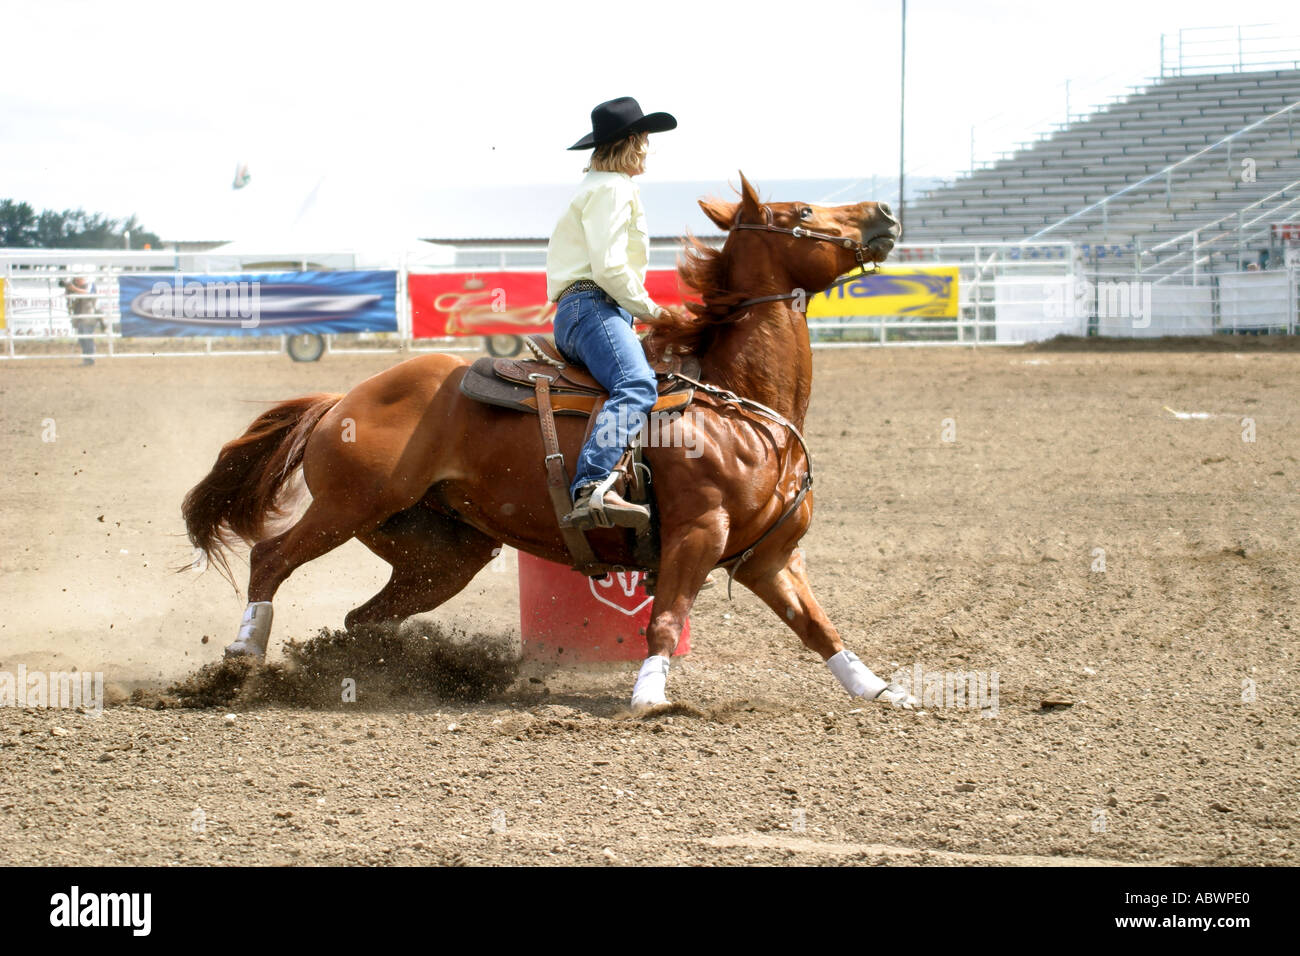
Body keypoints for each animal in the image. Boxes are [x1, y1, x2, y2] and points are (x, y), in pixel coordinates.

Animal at [180, 171, 915, 712]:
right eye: (803, 209)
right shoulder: (696, 534)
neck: (741, 401)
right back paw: (242, 659)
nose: (884, 211)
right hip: (348, 505)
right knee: (271, 558)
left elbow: (819, 626)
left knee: (364, 618)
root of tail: (344, 399)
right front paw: (650, 699)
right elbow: (665, 619)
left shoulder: (770, 556)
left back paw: (376, 674)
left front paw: (882, 689)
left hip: (442, 554)